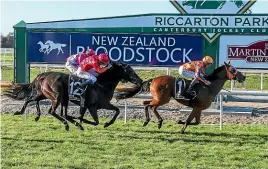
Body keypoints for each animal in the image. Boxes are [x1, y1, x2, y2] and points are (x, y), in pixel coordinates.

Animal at [4, 62, 142, 130]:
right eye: (130, 71)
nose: (140, 80)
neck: (102, 84)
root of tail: (43, 75)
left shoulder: (102, 104)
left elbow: (117, 111)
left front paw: (107, 124)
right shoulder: (92, 106)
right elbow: (94, 120)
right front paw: (80, 122)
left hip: (46, 94)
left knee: (32, 99)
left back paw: (30, 114)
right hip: (57, 96)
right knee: (51, 111)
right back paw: (66, 124)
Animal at [115, 61, 245, 134]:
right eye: (233, 69)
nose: (243, 77)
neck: (209, 87)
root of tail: (154, 79)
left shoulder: (198, 109)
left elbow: (197, 122)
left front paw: (179, 122)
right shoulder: (196, 107)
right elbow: (189, 120)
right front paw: (181, 128)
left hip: (160, 98)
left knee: (148, 104)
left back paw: (154, 121)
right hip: (162, 99)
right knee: (149, 105)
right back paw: (152, 121)